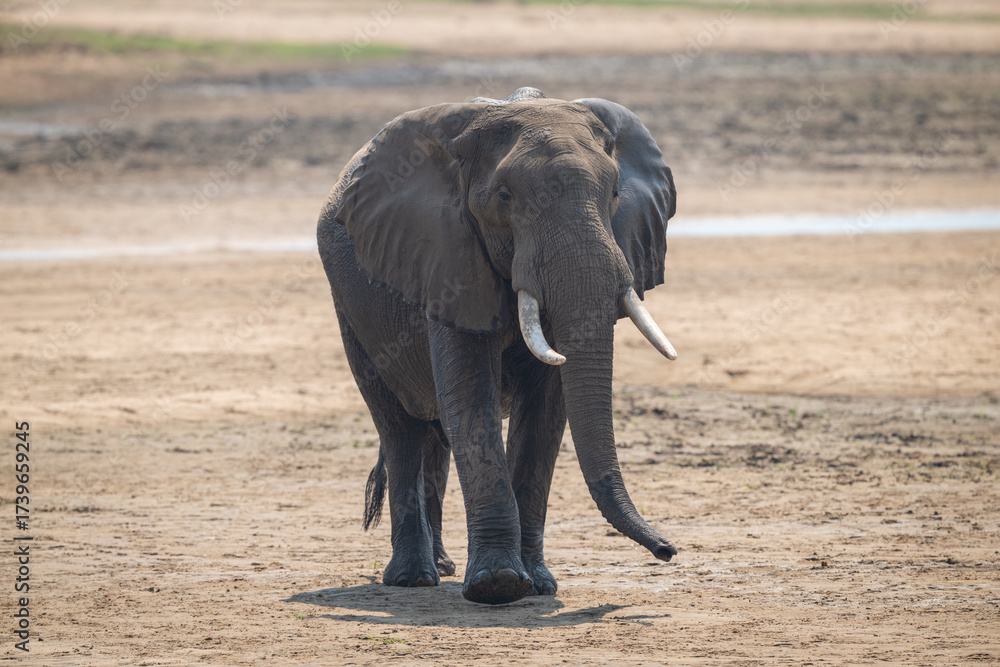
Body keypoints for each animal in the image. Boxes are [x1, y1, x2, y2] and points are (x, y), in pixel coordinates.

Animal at [317, 87, 678, 605]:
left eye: (613, 194)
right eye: (505, 197)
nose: (667, 550)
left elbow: (546, 410)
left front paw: (538, 586)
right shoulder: (446, 255)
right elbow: (471, 399)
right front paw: (498, 585)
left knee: (434, 435)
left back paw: (442, 567)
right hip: (350, 309)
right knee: (399, 428)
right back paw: (412, 578)